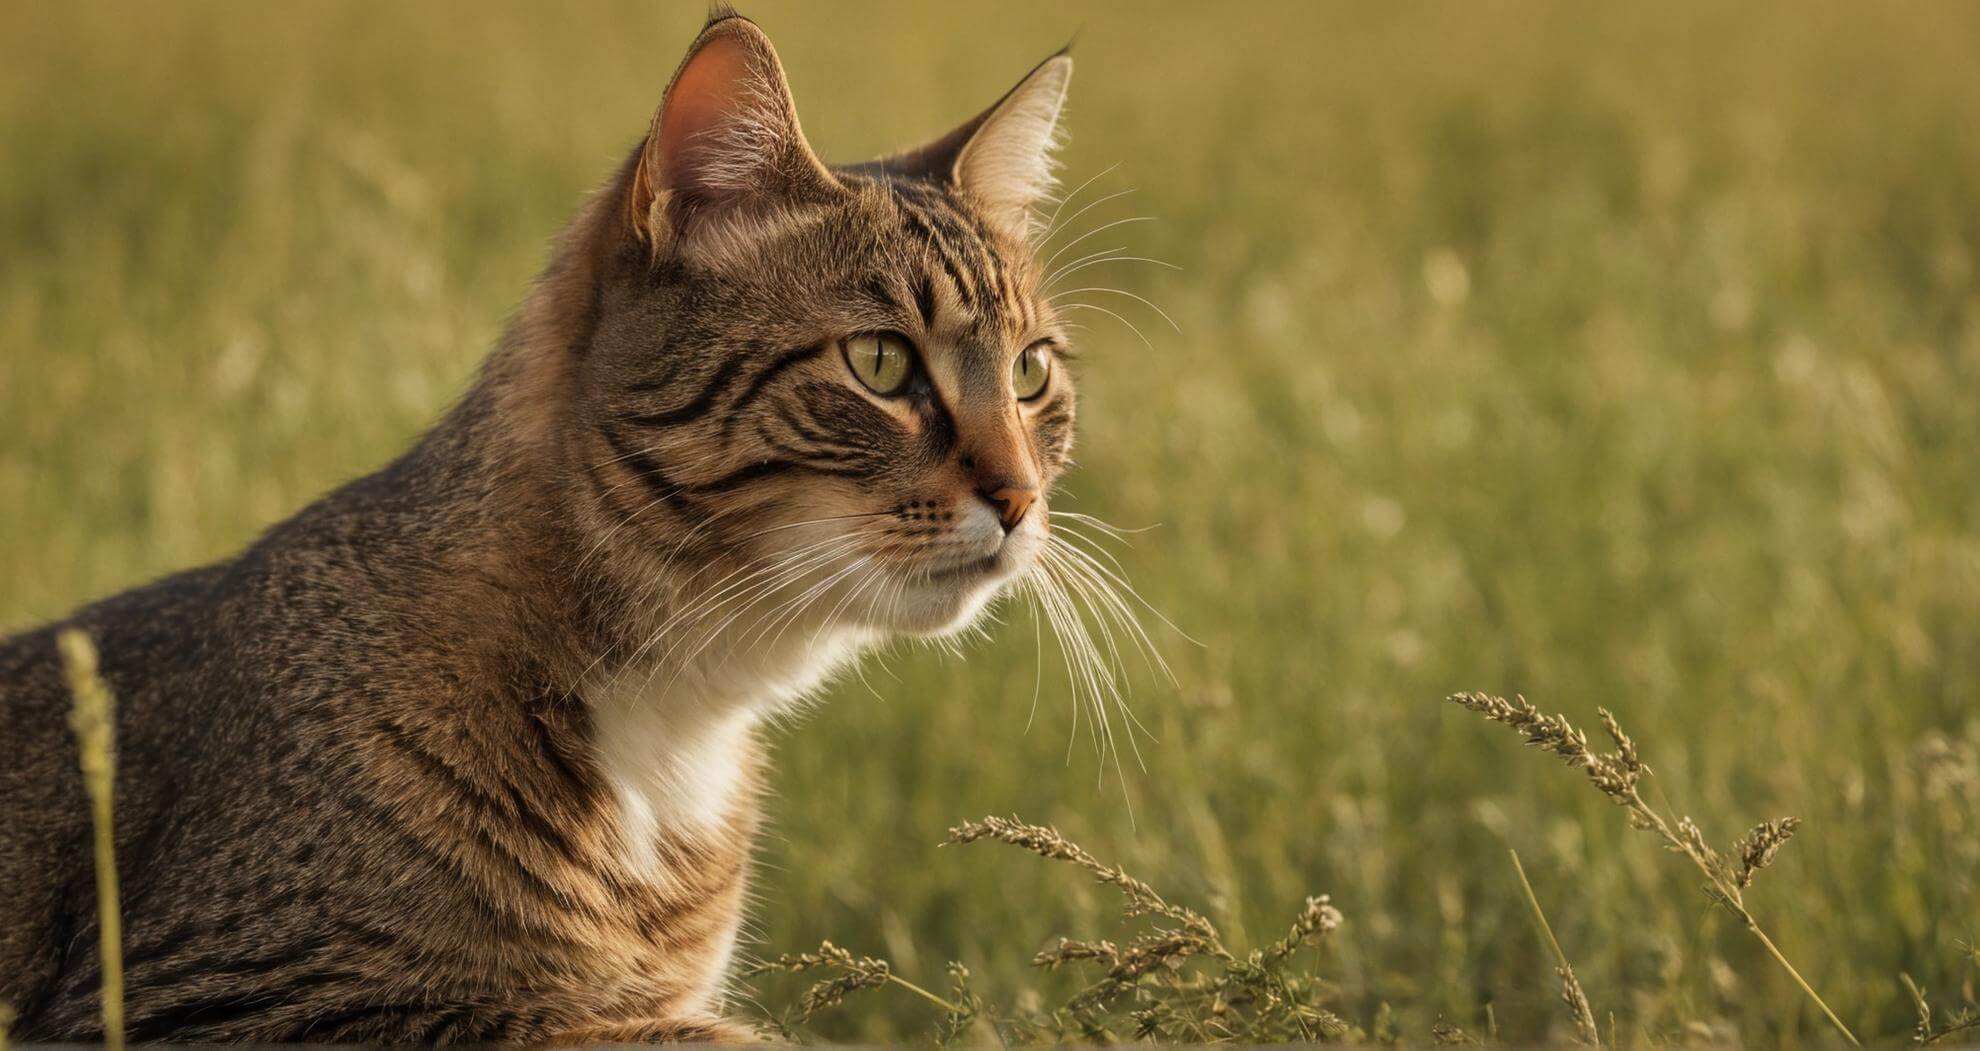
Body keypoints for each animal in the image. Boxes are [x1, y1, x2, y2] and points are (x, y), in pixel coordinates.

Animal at [0, 10, 1085, 1045]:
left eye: (1031, 372)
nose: (1021, 498)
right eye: (881, 362)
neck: (676, 725)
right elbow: (684, 1032)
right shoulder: (214, 999)